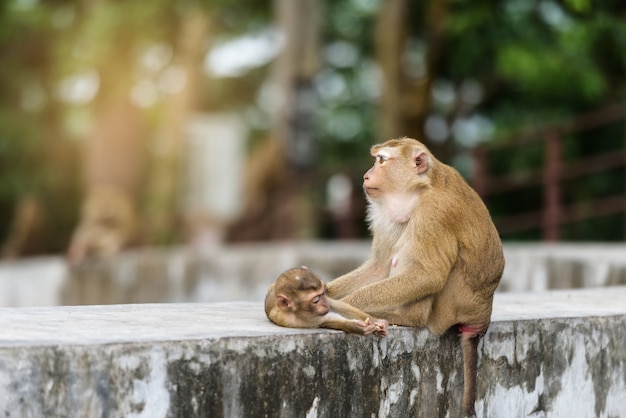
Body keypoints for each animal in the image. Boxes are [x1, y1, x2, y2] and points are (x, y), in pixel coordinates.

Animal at [326, 136, 502, 414]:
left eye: (381, 160)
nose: (366, 176)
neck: (420, 190)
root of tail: (481, 319)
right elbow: (378, 266)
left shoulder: (434, 214)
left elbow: (428, 275)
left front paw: (344, 306)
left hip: (449, 307)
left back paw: (406, 317)